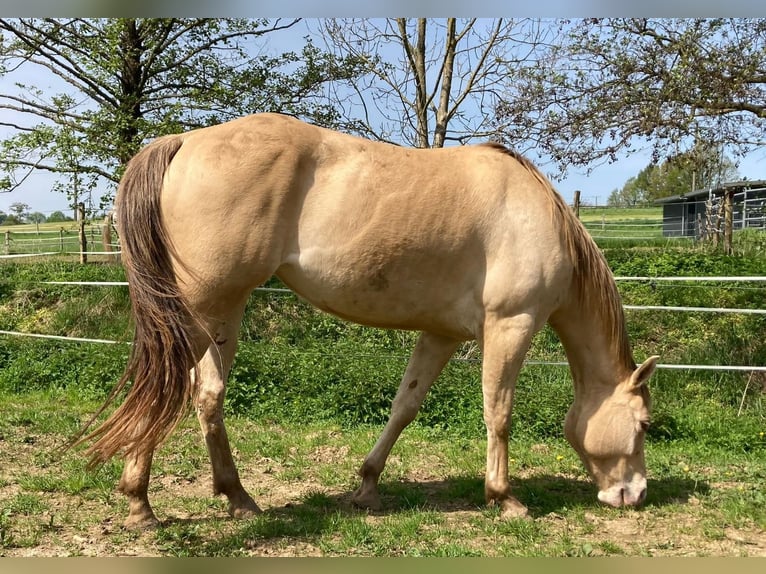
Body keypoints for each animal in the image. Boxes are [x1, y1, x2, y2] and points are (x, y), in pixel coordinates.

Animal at [75, 112, 656, 532]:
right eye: (646, 424)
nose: (634, 495)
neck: (538, 216)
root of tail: (182, 141)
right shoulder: (511, 325)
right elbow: (499, 413)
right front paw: (504, 498)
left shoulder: (441, 335)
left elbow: (405, 407)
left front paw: (367, 487)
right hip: (202, 310)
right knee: (165, 390)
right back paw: (140, 505)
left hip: (221, 314)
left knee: (205, 396)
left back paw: (238, 499)